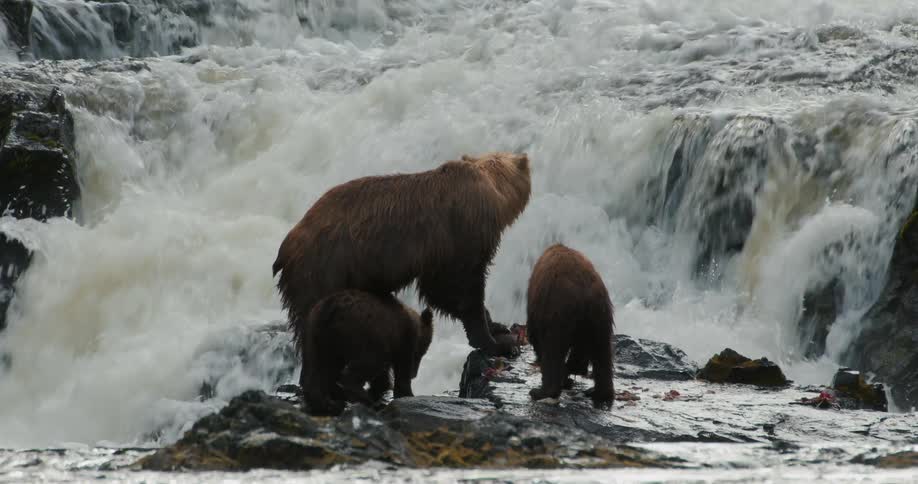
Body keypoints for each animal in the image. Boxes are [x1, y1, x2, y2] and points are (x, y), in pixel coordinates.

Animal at [272, 151, 531, 379]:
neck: (494, 190)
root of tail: (286, 246)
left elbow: (442, 291)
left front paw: (498, 326)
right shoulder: (461, 233)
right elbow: (459, 286)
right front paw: (495, 342)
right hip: (324, 269)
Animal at [299, 289, 434, 416]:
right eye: (421, 352)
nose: (414, 374)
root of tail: (331, 308)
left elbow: (383, 376)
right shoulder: (401, 340)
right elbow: (401, 368)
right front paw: (407, 394)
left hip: (316, 332)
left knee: (317, 366)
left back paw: (327, 403)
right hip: (364, 332)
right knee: (369, 363)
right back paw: (360, 397)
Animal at [526, 243, 615, 409]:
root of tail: (584, 293)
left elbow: (537, 338)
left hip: (557, 311)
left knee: (552, 349)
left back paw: (541, 391)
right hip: (600, 313)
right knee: (602, 351)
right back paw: (599, 392)